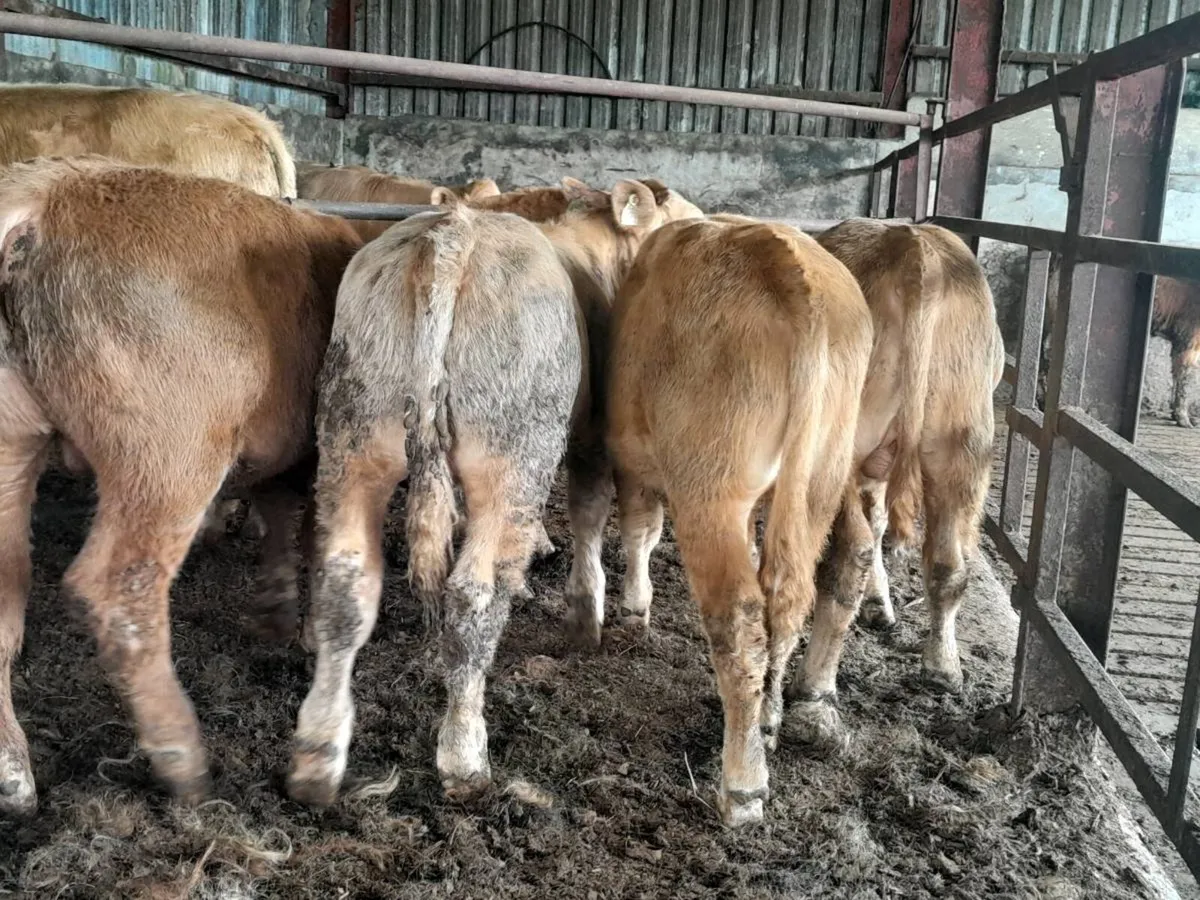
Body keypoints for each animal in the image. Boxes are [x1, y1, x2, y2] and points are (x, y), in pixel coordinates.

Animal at [0, 157, 361, 816]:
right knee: (119, 588)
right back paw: (187, 766)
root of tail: (38, 198)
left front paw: (273, 619)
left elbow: (278, 512)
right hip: (171, 444)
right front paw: (303, 632)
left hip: (13, 438)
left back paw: (15, 786)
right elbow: (311, 532)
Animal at [286, 177, 701, 807]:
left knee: (345, 585)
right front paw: (586, 614)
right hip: (513, 454)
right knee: (472, 597)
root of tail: (453, 236)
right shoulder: (591, 434)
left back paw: (316, 758)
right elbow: (588, 513)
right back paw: (464, 757)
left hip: (351, 433)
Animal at [605, 214, 872, 825]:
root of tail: (790, 266)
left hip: (710, 490)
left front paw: (634, 610)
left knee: (739, 619)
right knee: (803, 589)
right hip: (824, 471)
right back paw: (779, 720)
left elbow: (639, 531)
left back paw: (743, 785)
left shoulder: (632, 461)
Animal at [780, 219, 1002, 749]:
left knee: (850, 556)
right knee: (947, 564)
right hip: (962, 442)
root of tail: (914, 249)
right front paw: (882, 606)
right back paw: (943, 667)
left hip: (838, 447)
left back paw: (814, 697)